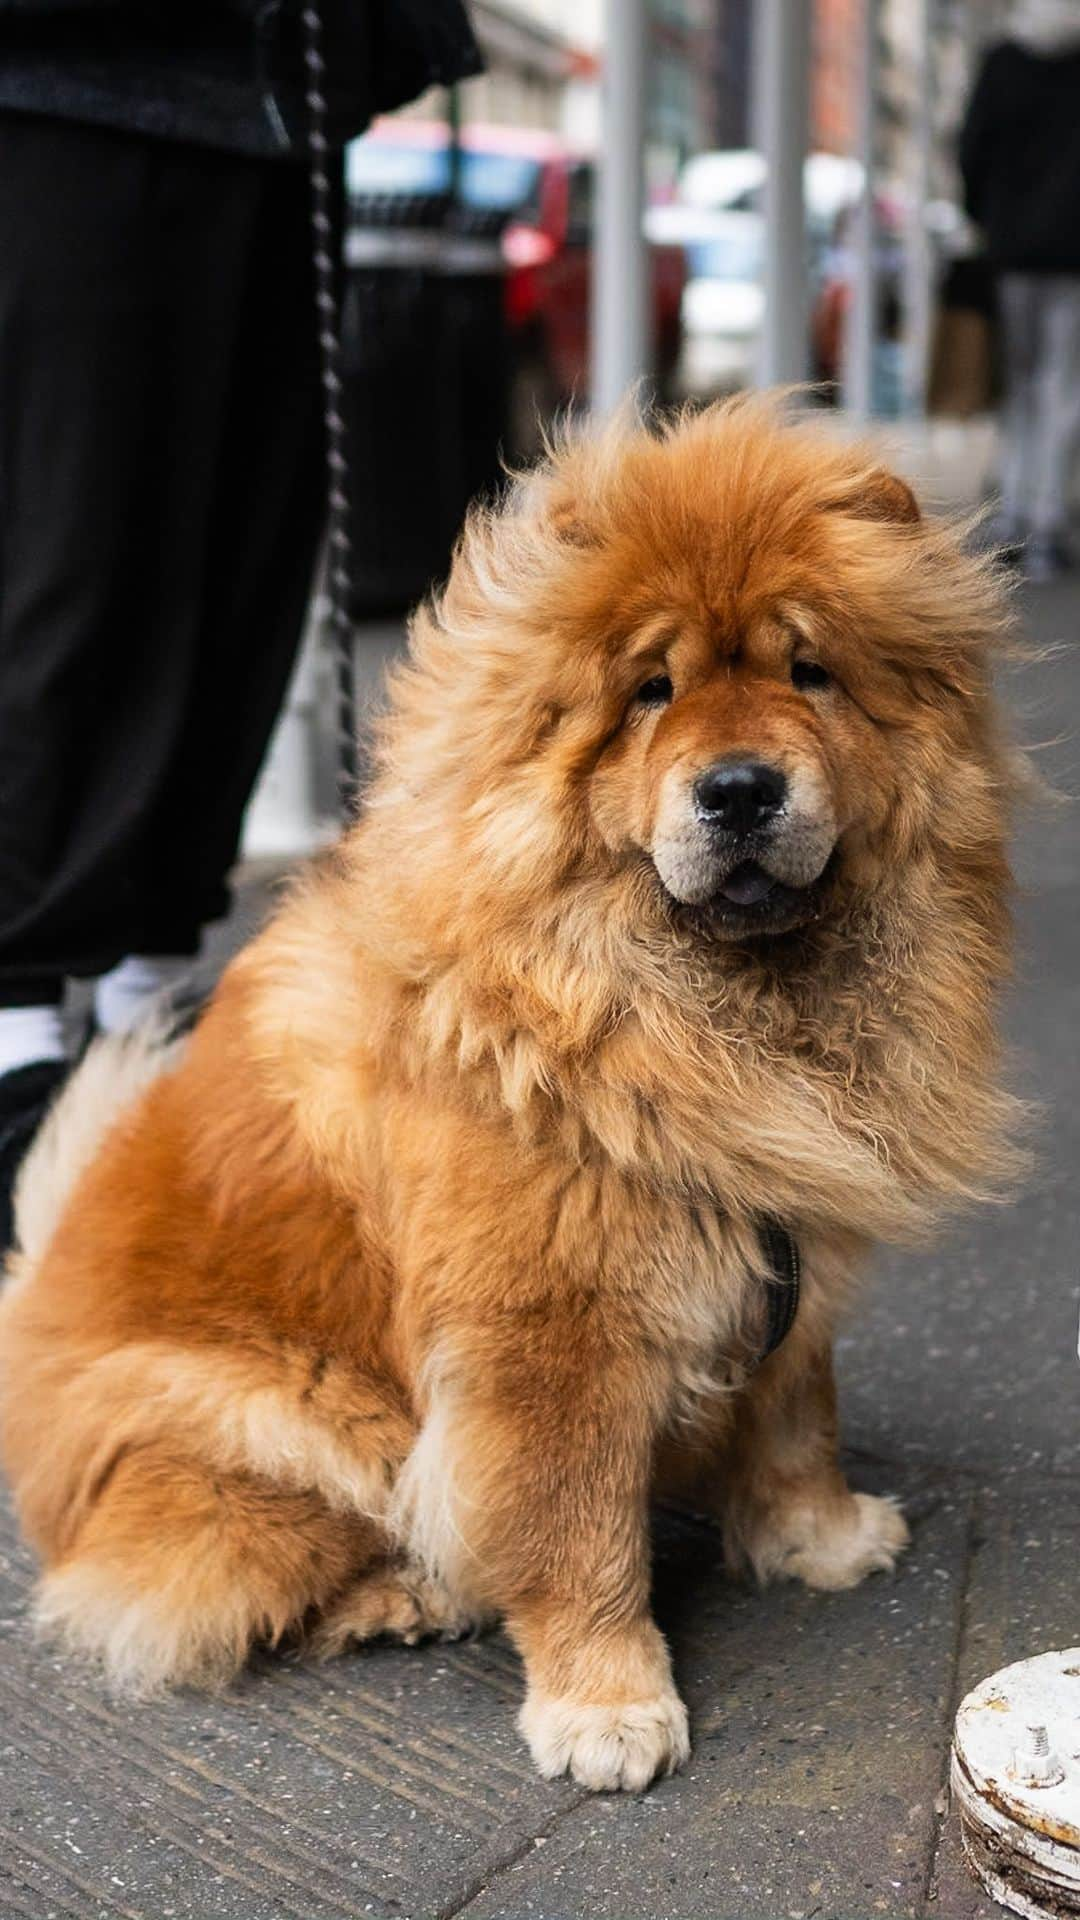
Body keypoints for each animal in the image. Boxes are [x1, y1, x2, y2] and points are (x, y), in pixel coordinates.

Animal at [0, 405, 1014, 1797]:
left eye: (809, 673)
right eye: (651, 693)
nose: (740, 788)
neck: (694, 1022)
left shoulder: (790, 1252)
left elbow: (799, 1412)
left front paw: (822, 1538)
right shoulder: (549, 1334)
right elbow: (577, 1533)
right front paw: (608, 1710)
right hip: (285, 1423)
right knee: (212, 1579)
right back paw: (405, 1598)